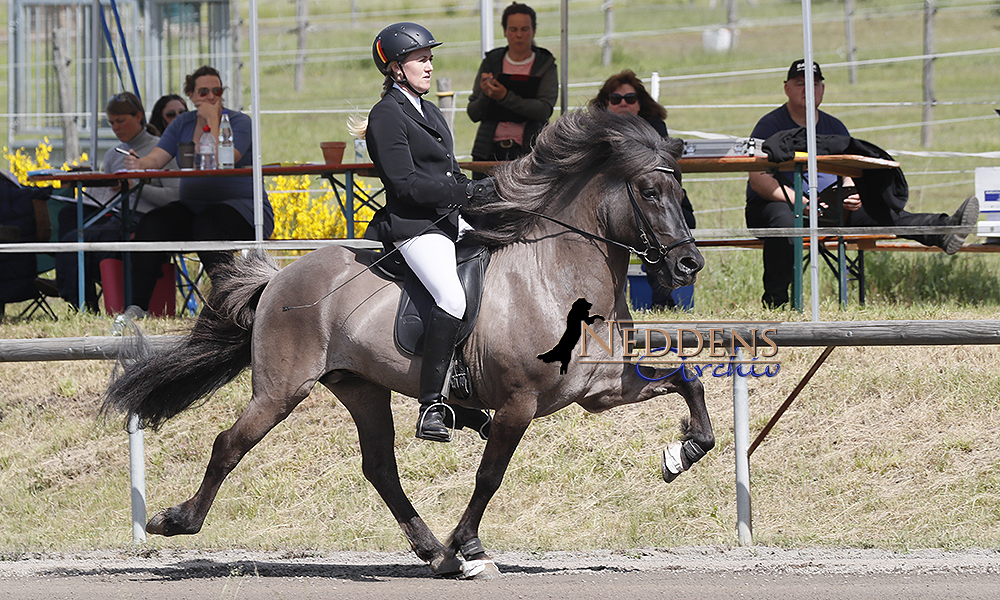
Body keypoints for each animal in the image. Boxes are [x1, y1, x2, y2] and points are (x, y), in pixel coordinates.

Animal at [103, 110, 712, 580]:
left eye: (681, 191)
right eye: (649, 192)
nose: (689, 264)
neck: (554, 276)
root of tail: (279, 277)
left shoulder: (599, 390)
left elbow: (686, 379)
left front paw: (681, 455)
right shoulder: (518, 403)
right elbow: (489, 476)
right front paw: (470, 544)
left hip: (360, 387)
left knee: (380, 468)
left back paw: (434, 553)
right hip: (282, 388)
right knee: (230, 444)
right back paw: (176, 521)